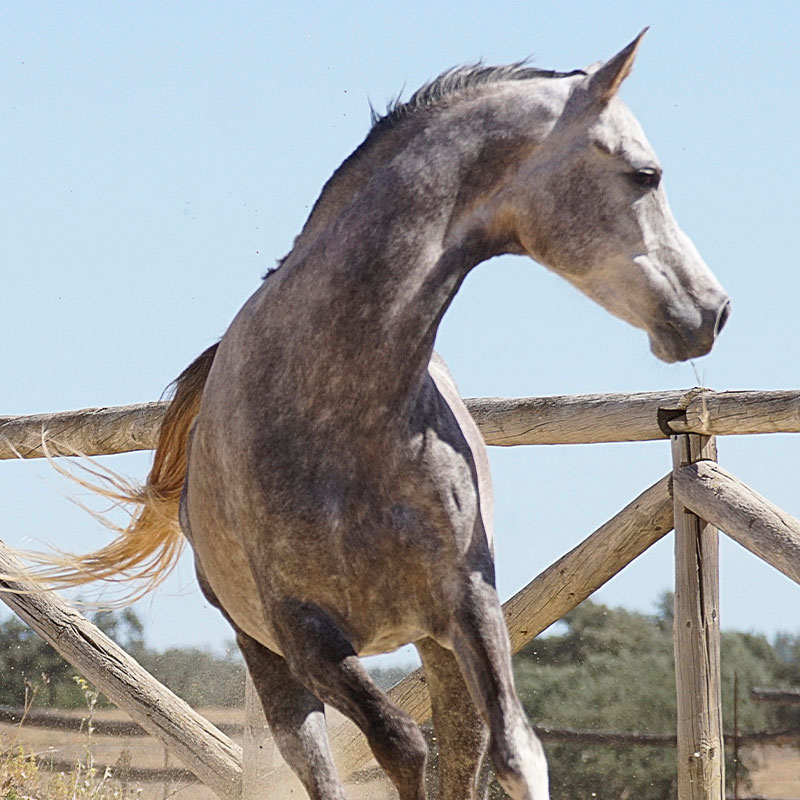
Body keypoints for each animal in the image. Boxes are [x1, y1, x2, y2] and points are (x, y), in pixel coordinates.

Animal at [29, 31, 732, 800]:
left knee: (465, 744)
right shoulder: (307, 635)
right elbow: (399, 743)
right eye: (645, 174)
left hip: (432, 648)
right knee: (322, 760)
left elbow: (515, 751)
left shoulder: (467, 604)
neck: (338, 411)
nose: (712, 309)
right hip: (270, 662)